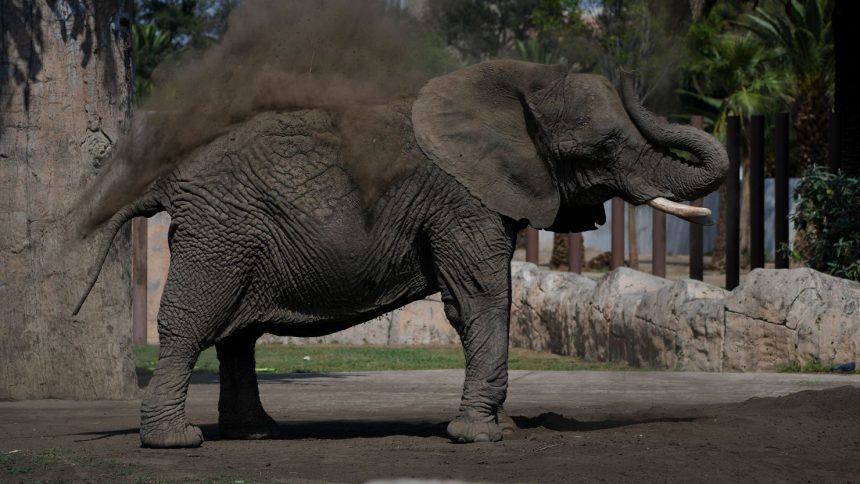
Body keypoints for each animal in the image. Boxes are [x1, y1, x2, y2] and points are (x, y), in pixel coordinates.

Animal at [75, 60, 724, 450]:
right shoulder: (460, 198)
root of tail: (168, 176)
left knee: (238, 335)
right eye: (605, 147)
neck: (518, 88)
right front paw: (480, 436)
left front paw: (502, 427)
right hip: (221, 231)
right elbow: (482, 299)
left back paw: (258, 434)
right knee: (193, 322)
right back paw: (177, 442)